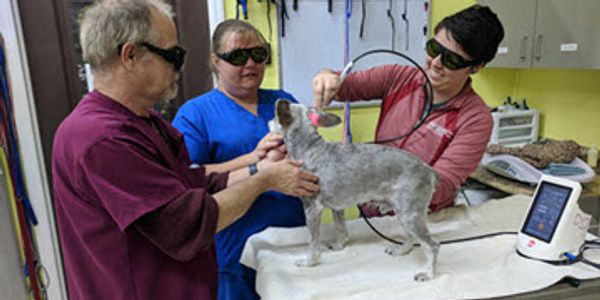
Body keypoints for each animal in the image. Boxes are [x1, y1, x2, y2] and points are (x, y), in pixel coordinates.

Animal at [272, 98, 440, 282]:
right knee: (411, 236)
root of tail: (429, 171)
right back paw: (400, 250)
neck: (310, 149)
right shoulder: (337, 208)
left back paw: (428, 273)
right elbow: (340, 229)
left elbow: (313, 242)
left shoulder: (312, 208)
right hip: (403, 212)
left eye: (274, 116)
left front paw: (309, 262)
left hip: (410, 213)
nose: (269, 122)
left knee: (432, 245)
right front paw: (339, 246)